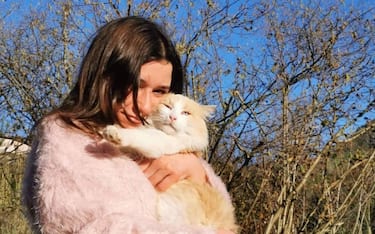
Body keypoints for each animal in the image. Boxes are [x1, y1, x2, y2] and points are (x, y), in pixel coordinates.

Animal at [102, 93, 238, 232]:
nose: (172, 117)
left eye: (185, 113)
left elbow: (141, 136)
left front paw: (114, 133)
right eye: (168, 106)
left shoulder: (162, 142)